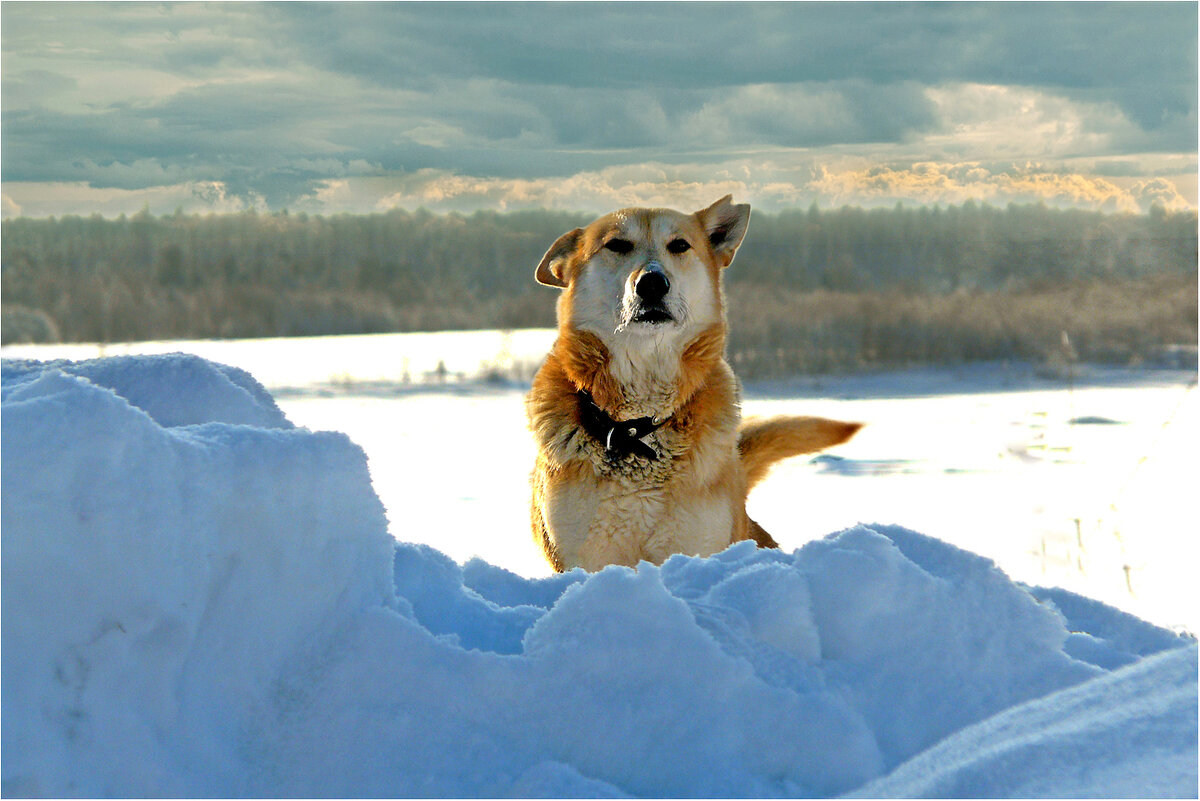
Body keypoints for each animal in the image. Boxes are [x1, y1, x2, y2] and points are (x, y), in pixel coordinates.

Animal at [530, 196, 859, 573]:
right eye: (616, 245)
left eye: (679, 246)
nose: (653, 283)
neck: (638, 427)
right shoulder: (582, 557)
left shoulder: (696, 545)